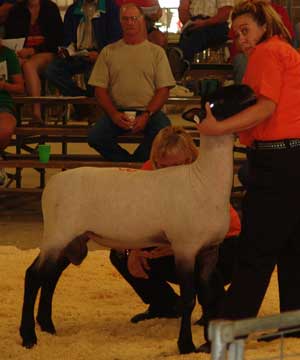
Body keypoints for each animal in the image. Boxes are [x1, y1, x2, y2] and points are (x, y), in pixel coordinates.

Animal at [18, 83, 256, 354]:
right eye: (215, 103)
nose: (248, 89)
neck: (203, 179)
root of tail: (52, 184)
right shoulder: (185, 247)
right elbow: (189, 299)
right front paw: (185, 345)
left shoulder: (209, 250)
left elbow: (207, 295)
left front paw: (208, 343)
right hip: (58, 234)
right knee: (33, 276)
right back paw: (28, 336)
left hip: (73, 239)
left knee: (50, 277)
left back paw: (47, 326)